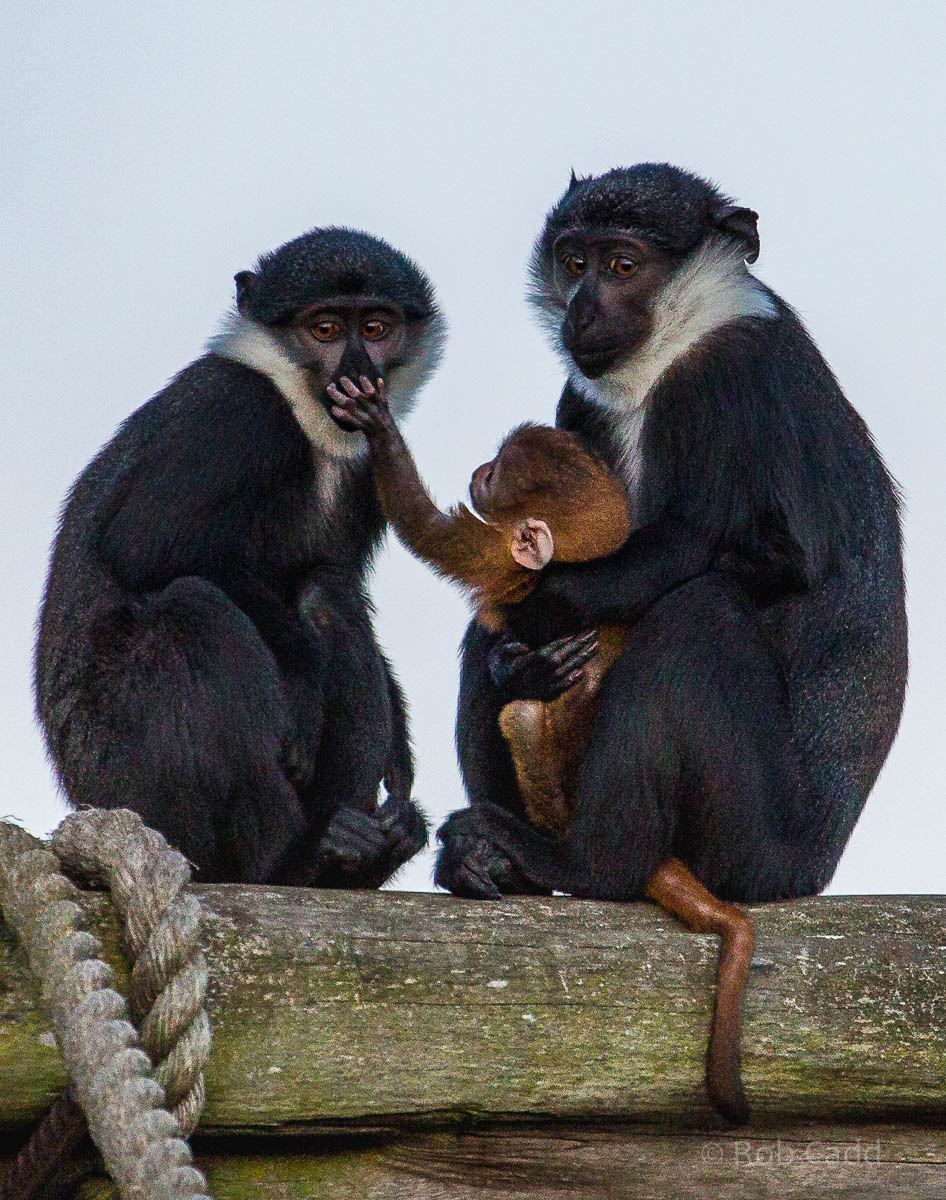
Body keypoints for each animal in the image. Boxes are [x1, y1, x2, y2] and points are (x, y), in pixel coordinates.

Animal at [35, 227, 445, 887]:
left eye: (376, 327)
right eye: (324, 329)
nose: (359, 373)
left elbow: (336, 581)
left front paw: (401, 751)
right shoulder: (238, 416)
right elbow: (146, 544)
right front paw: (303, 677)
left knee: (327, 594)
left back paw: (349, 853)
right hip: (129, 780)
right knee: (194, 610)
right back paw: (283, 857)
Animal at [328, 375, 757, 1121]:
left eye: (497, 476)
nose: (478, 469)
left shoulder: (504, 562)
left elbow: (428, 529)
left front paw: (378, 425)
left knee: (524, 722)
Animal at [433, 164, 907, 1121]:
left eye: (624, 263)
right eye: (574, 260)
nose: (583, 308)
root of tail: (814, 866)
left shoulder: (729, 375)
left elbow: (734, 554)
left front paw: (548, 609)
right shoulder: (580, 404)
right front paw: (519, 655)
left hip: (753, 843)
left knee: (702, 614)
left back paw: (588, 862)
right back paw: (492, 857)